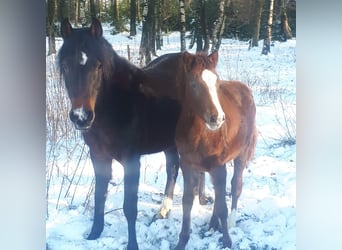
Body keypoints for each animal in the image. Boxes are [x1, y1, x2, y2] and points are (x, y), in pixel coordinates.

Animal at [58, 18, 182, 250]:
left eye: (99, 66)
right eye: (66, 66)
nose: (81, 117)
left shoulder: (131, 161)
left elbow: (129, 208)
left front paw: (132, 244)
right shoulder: (98, 156)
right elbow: (99, 196)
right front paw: (94, 234)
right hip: (170, 142)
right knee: (173, 168)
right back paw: (163, 211)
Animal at [141, 50, 256, 248]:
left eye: (217, 82)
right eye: (193, 84)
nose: (217, 118)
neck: (199, 135)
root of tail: (245, 89)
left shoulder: (219, 166)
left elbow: (223, 205)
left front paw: (227, 241)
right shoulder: (188, 165)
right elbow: (188, 201)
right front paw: (182, 241)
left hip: (241, 155)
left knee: (236, 186)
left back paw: (230, 222)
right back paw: (213, 224)